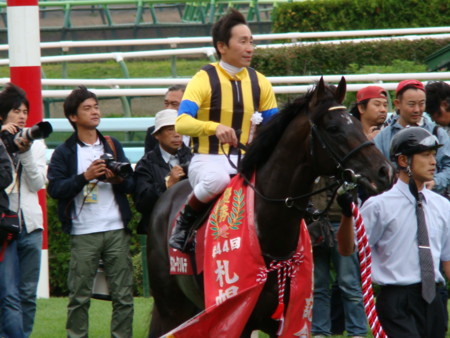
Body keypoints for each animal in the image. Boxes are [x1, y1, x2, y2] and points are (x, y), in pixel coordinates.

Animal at [146, 78, 392, 336]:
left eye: (357, 123)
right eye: (333, 128)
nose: (384, 171)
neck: (267, 230)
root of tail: (167, 196)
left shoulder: (289, 317)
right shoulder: (236, 316)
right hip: (170, 307)